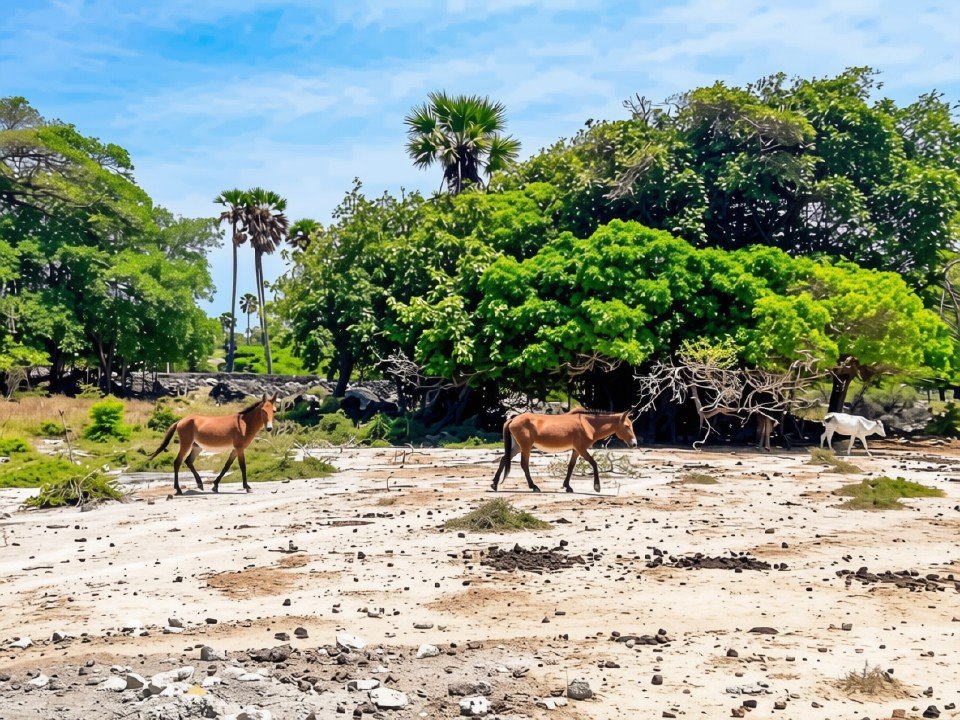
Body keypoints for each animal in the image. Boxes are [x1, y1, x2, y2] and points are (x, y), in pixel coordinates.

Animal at [148, 392, 277, 495]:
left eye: (274, 411)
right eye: (263, 410)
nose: (269, 428)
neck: (244, 424)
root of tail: (181, 420)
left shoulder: (235, 449)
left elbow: (226, 466)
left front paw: (215, 486)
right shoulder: (240, 448)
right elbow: (243, 466)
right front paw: (247, 487)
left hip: (197, 447)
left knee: (188, 461)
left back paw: (200, 484)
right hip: (186, 444)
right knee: (177, 462)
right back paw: (179, 489)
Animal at [491, 409, 638, 494]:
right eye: (627, 426)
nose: (634, 443)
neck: (588, 424)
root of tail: (513, 419)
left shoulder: (576, 450)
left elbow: (571, 466)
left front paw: (567, 486)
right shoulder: (581, 448)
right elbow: (594, 463)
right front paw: (597, 487)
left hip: (518, 447)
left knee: (504, 459)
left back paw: (494, 484)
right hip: (526, 447)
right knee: (524, 464)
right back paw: (534, 486)